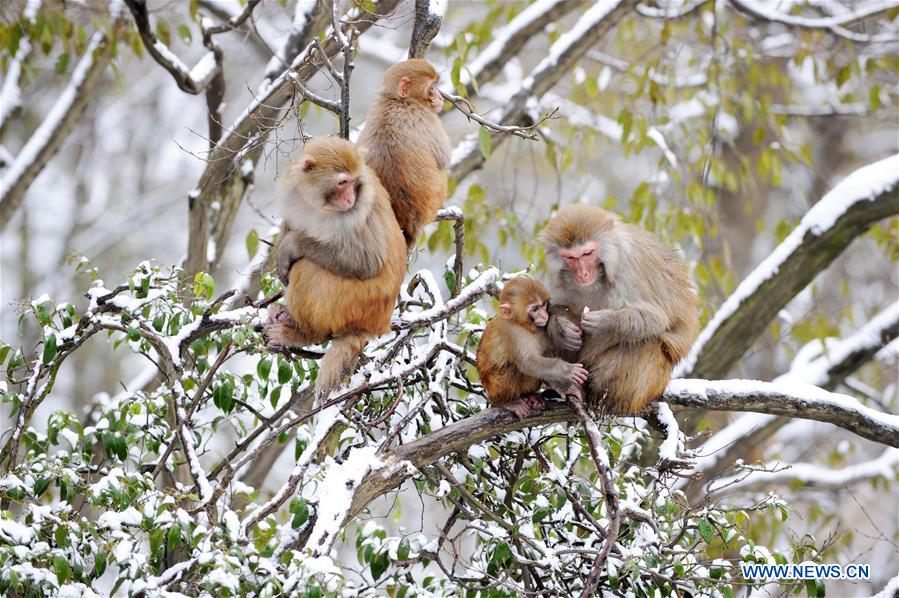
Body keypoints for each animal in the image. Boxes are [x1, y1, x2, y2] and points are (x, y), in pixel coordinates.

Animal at [266, 137, 406, 398]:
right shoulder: (292, 191)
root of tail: (378, 324)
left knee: (306, 268)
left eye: (354, 182)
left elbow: (365, 261)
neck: (319, 205)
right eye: (342, 182)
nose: (350, 198)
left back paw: (303, 334)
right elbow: (290, 224)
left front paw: (290, 246)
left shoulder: (360, 209)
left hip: (354, 303)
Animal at [474, 276, 596, 420]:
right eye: (534, 309)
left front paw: (563, 387)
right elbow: (528, 362)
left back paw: (530, 396)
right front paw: (568, 371)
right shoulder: (511, 331)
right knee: (514, 368)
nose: (544, 316)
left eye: (543, 305)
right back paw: (507, 403)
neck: (523, 324)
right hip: (494, 389)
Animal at [536, 206, 700, 418]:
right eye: (571, 258)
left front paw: (604, 322)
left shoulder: (627, 270)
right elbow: (552, 308)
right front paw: (562, 329)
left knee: (647, 342)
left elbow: (656, 319)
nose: (582, 274)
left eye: (587, 253)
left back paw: (601, 394)